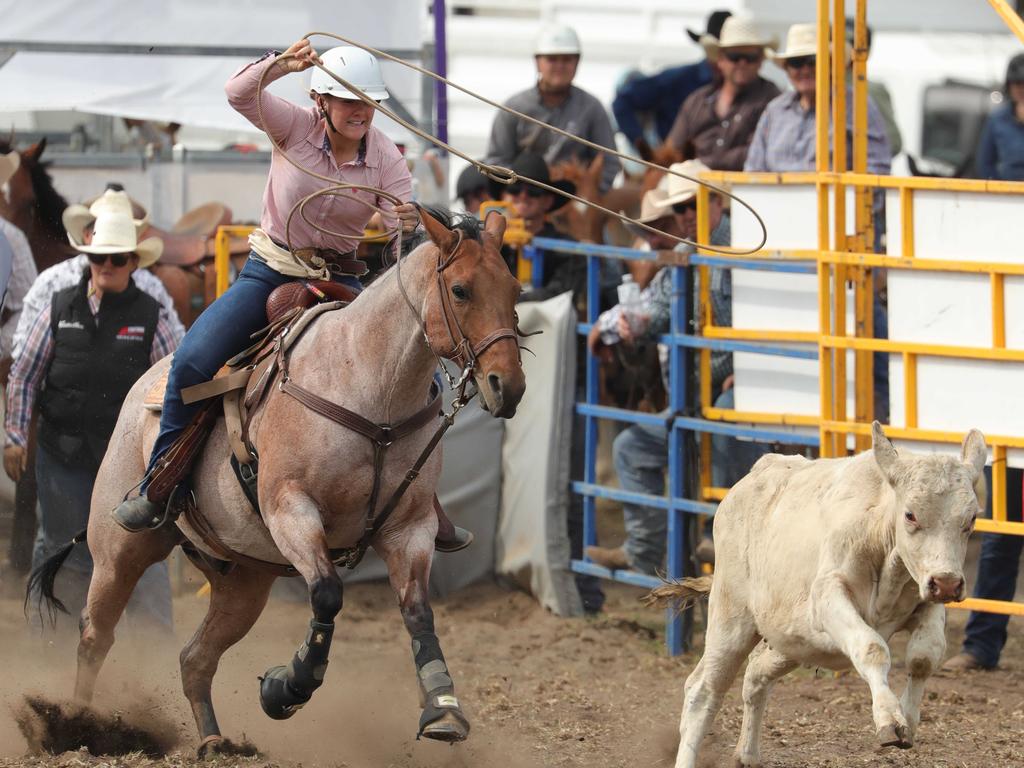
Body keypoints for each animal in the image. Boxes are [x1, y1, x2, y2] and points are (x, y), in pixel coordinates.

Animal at [33, 205, 528, 757]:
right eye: (460, 289)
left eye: (514, 289)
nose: (507, 387)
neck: (370, 390)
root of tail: (145, 383)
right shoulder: (291, 510)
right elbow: (328, 593)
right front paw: (286, 687)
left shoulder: (410, 527)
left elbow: (418, 611)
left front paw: (443, 708)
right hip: (119, 550)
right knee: (95, 634)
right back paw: (79, 725)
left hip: (244, 580)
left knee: (195, 659)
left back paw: (214, 741)